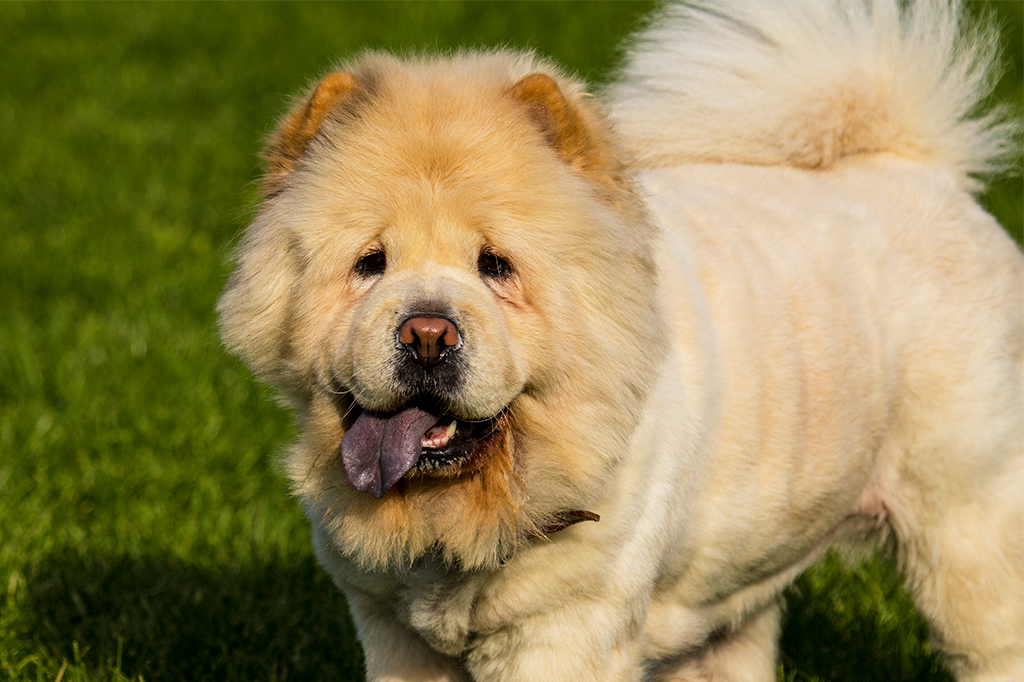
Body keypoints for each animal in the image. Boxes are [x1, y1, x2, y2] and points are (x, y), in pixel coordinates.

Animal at [218, 1, 1024, 679]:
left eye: (495, 265)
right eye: (370, 263)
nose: (426, 333)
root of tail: (916, 169)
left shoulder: (566, 630)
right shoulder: (391, 628)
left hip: (965, 525)